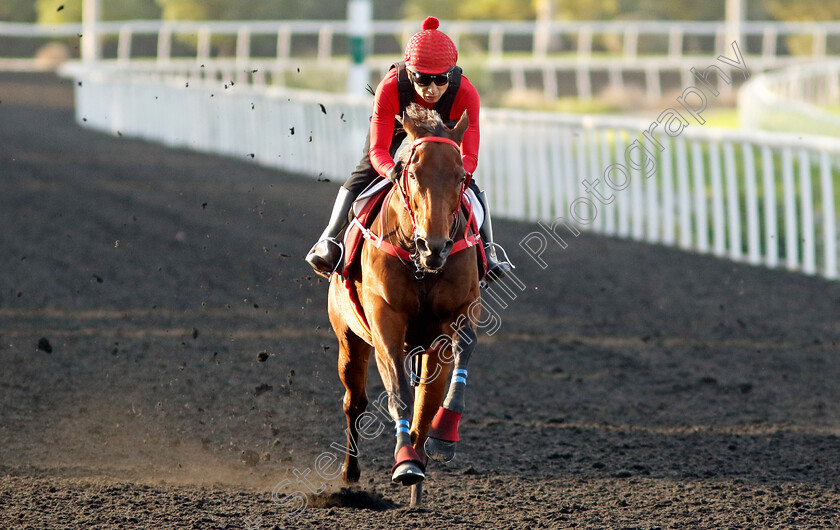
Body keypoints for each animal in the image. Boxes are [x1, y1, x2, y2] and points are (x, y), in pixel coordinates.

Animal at [330, 102, 482, 504]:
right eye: (412, 173)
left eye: (461, 177)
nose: (435, 246)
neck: (421, 266)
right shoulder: (385, 319)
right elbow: (397, 387)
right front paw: (405, 462)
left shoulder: (461, 310)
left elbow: (463, 352)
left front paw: (445, 436)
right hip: (348, 337)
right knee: (354, 402)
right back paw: (353, 473)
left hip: (428, 348)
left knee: (425, 403)